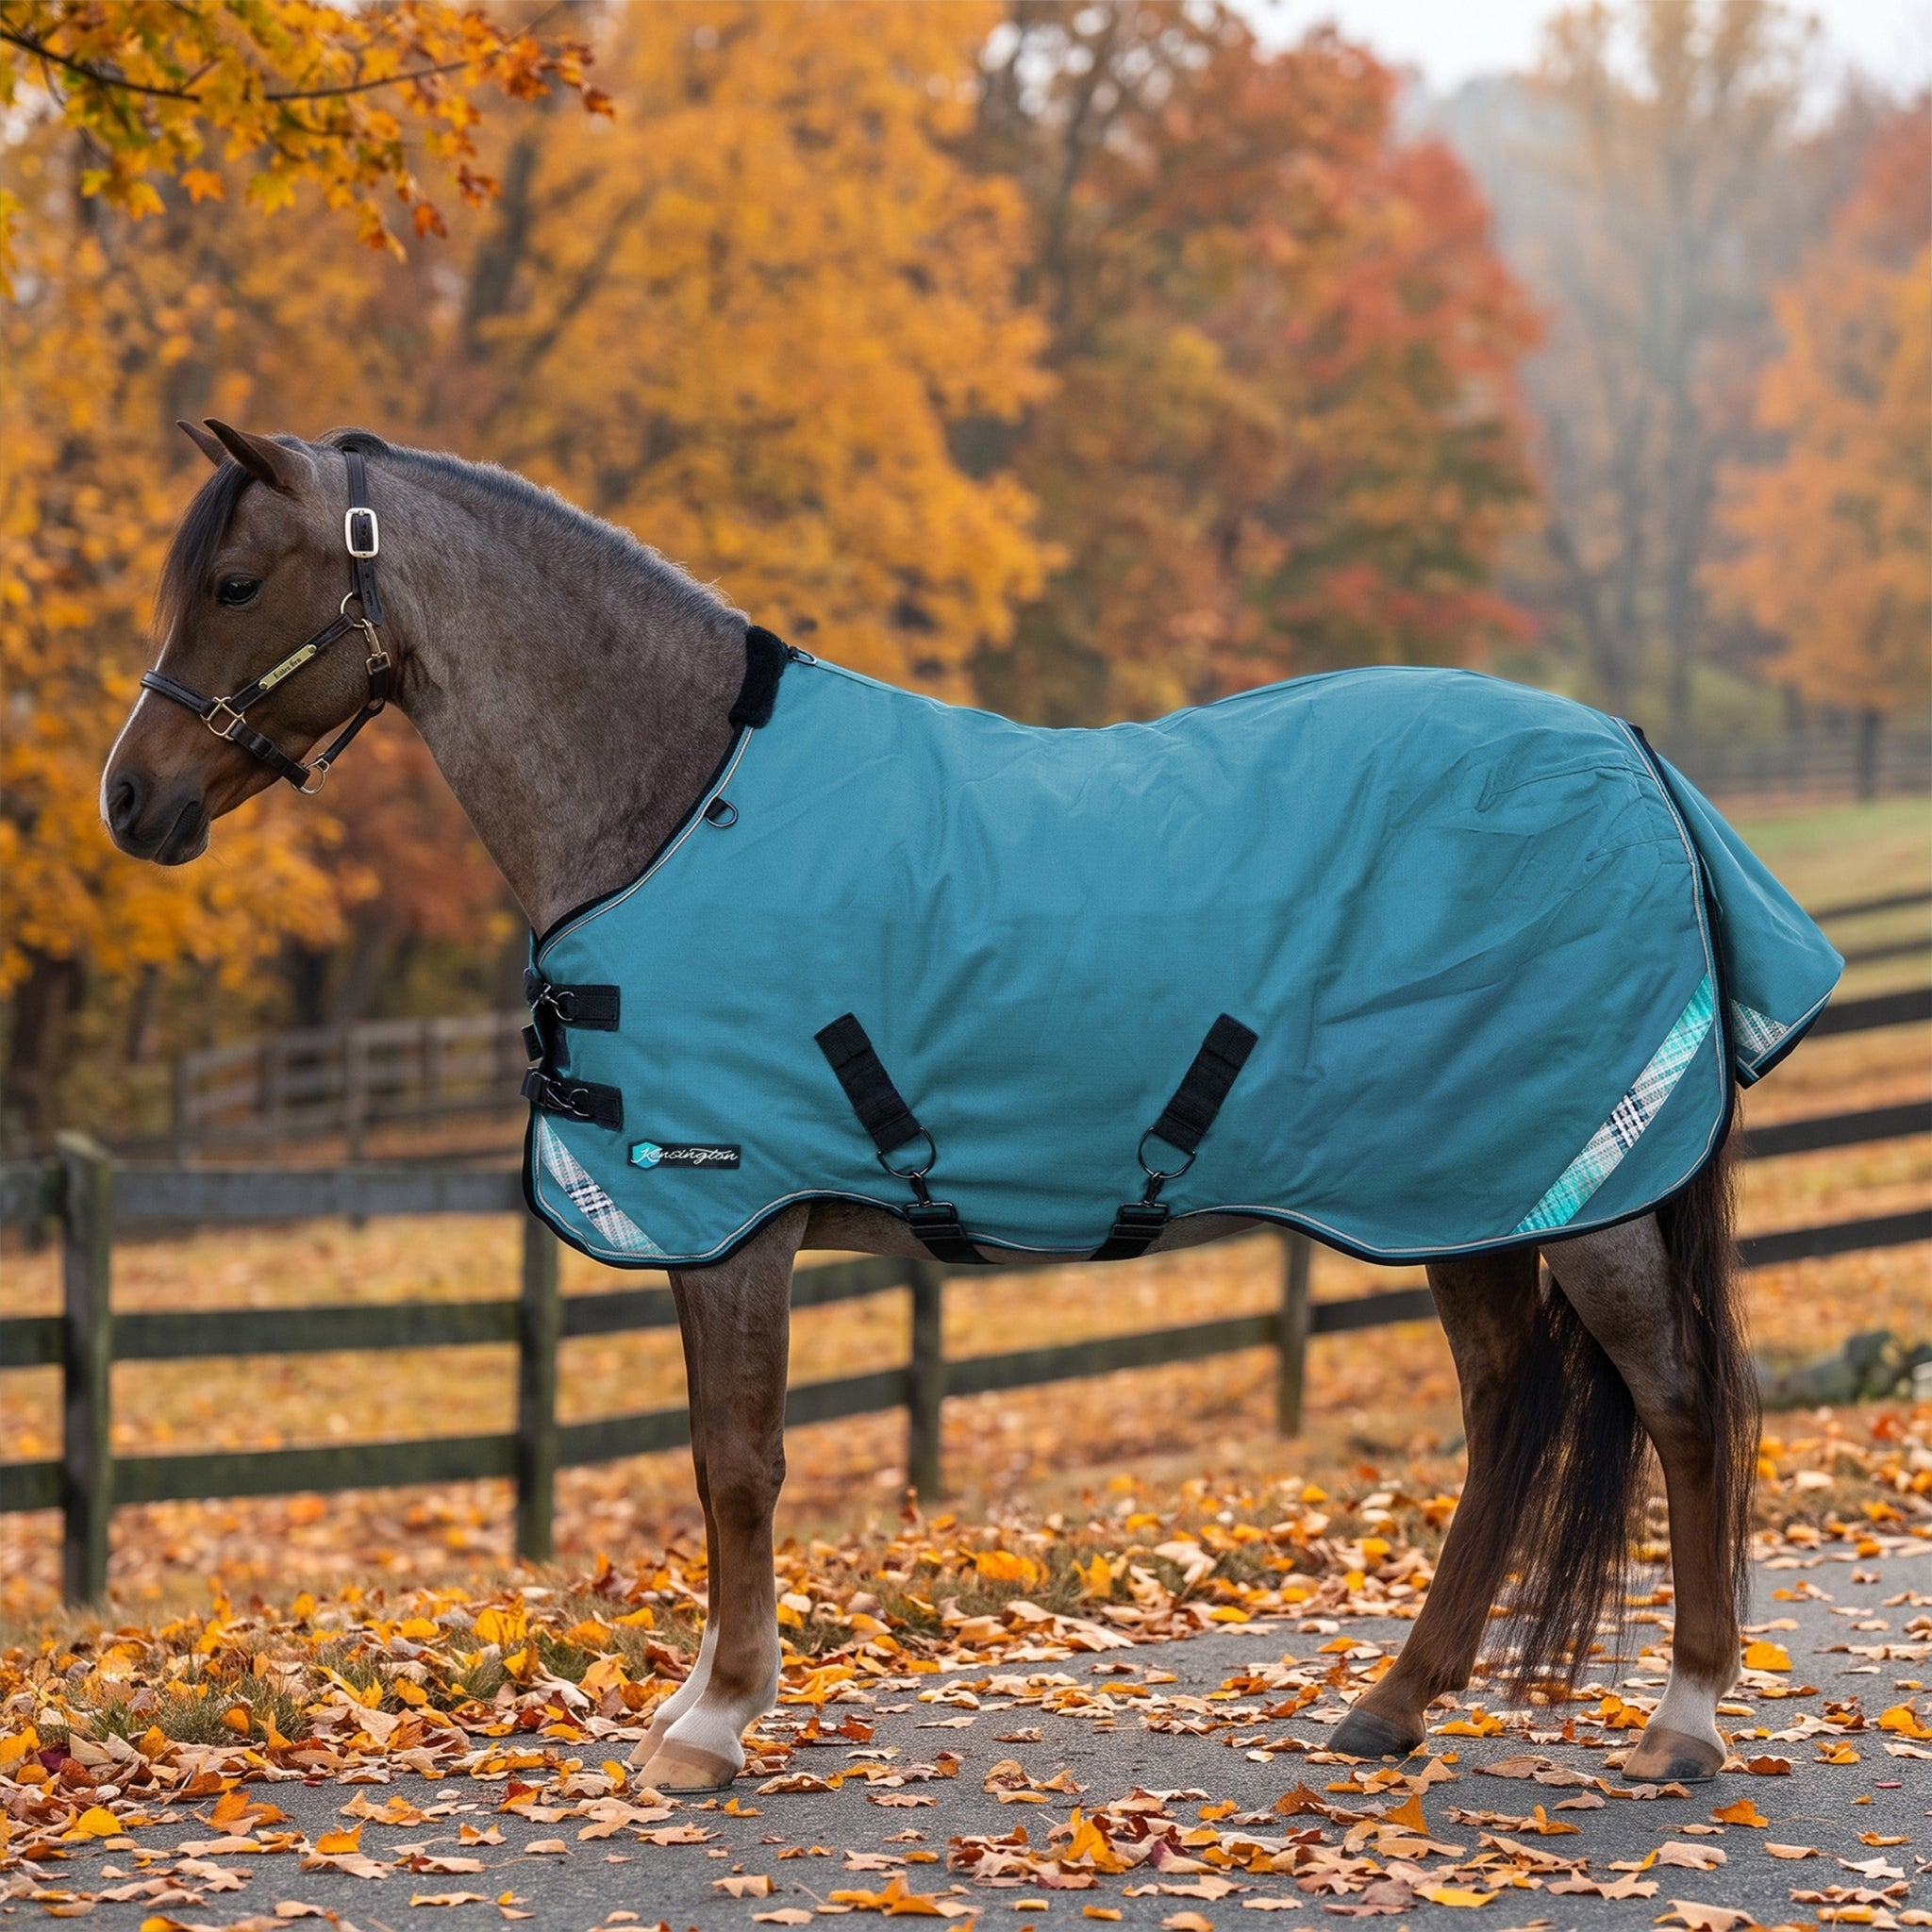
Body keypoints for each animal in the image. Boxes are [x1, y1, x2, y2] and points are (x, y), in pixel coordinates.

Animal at [103, 419, 1779, 1794]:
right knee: (1506, 1411)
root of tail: (1634, 758)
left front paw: (713, 1726)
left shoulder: (731, 1215)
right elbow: (719, 1462)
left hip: (1583, 1196)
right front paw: (700, 1706)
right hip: (1466, 1200)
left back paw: (1685, 1720)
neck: (674, 800)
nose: (131, 801)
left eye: (237, 582)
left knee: (1678, 1405)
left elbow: (740, 1465)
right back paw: (1396, 1705)